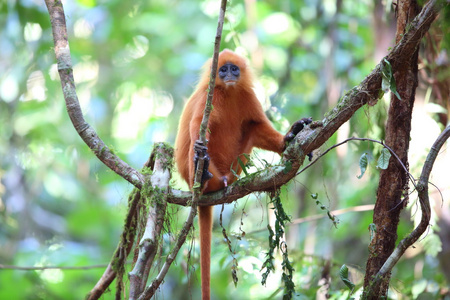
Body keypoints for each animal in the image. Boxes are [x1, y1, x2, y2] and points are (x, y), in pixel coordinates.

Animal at [174, 49, 312, 300]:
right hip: (194, 174)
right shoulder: (210, 96)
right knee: (198, 144)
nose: (229, 75)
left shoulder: (247, 96)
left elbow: (257, 124)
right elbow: (198, 125)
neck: (228, 92)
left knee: (251, 129)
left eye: (233, 69)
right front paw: (199, 152)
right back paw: (204, 175)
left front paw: (289, 136)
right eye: (222, 70)